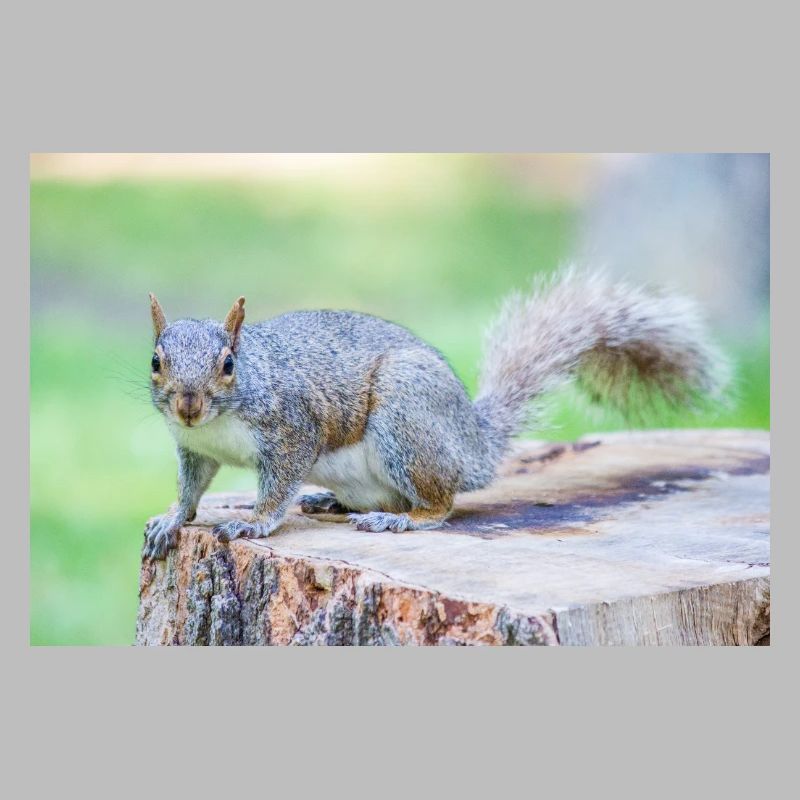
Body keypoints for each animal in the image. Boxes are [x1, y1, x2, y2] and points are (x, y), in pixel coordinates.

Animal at [143, 268, 729, 559]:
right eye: (155, 361)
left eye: (228, 364)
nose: (188, 405)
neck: (219, 423)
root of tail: (473, 444)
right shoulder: (193, 449)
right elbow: (192, 489)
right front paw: (172, 519)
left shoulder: (293, 430)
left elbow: (277, 485)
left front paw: (254, 523)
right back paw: (331, 501)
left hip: (407, 419)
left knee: (441, 504)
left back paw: (400, 518)